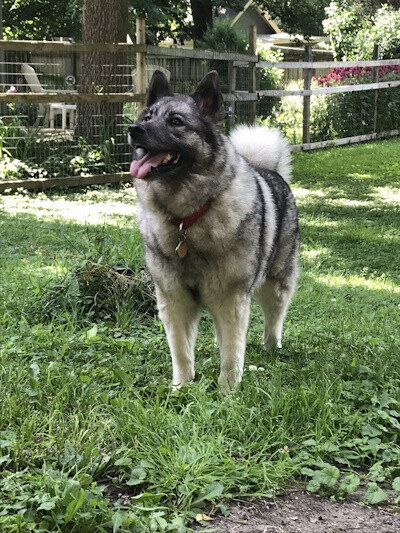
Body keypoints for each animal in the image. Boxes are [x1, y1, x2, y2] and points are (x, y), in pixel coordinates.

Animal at [129, 69, 300, 394]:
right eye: (147, 117)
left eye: (176, 121)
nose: (134, 129)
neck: (187, 220)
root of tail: (269, 170)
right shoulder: (174, 301)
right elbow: (181, 351)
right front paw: (181, 387)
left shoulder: (230, 301)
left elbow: (232, 354)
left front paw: (227, 392)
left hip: (275, 284)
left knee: (275, 317)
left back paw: (271, 347)